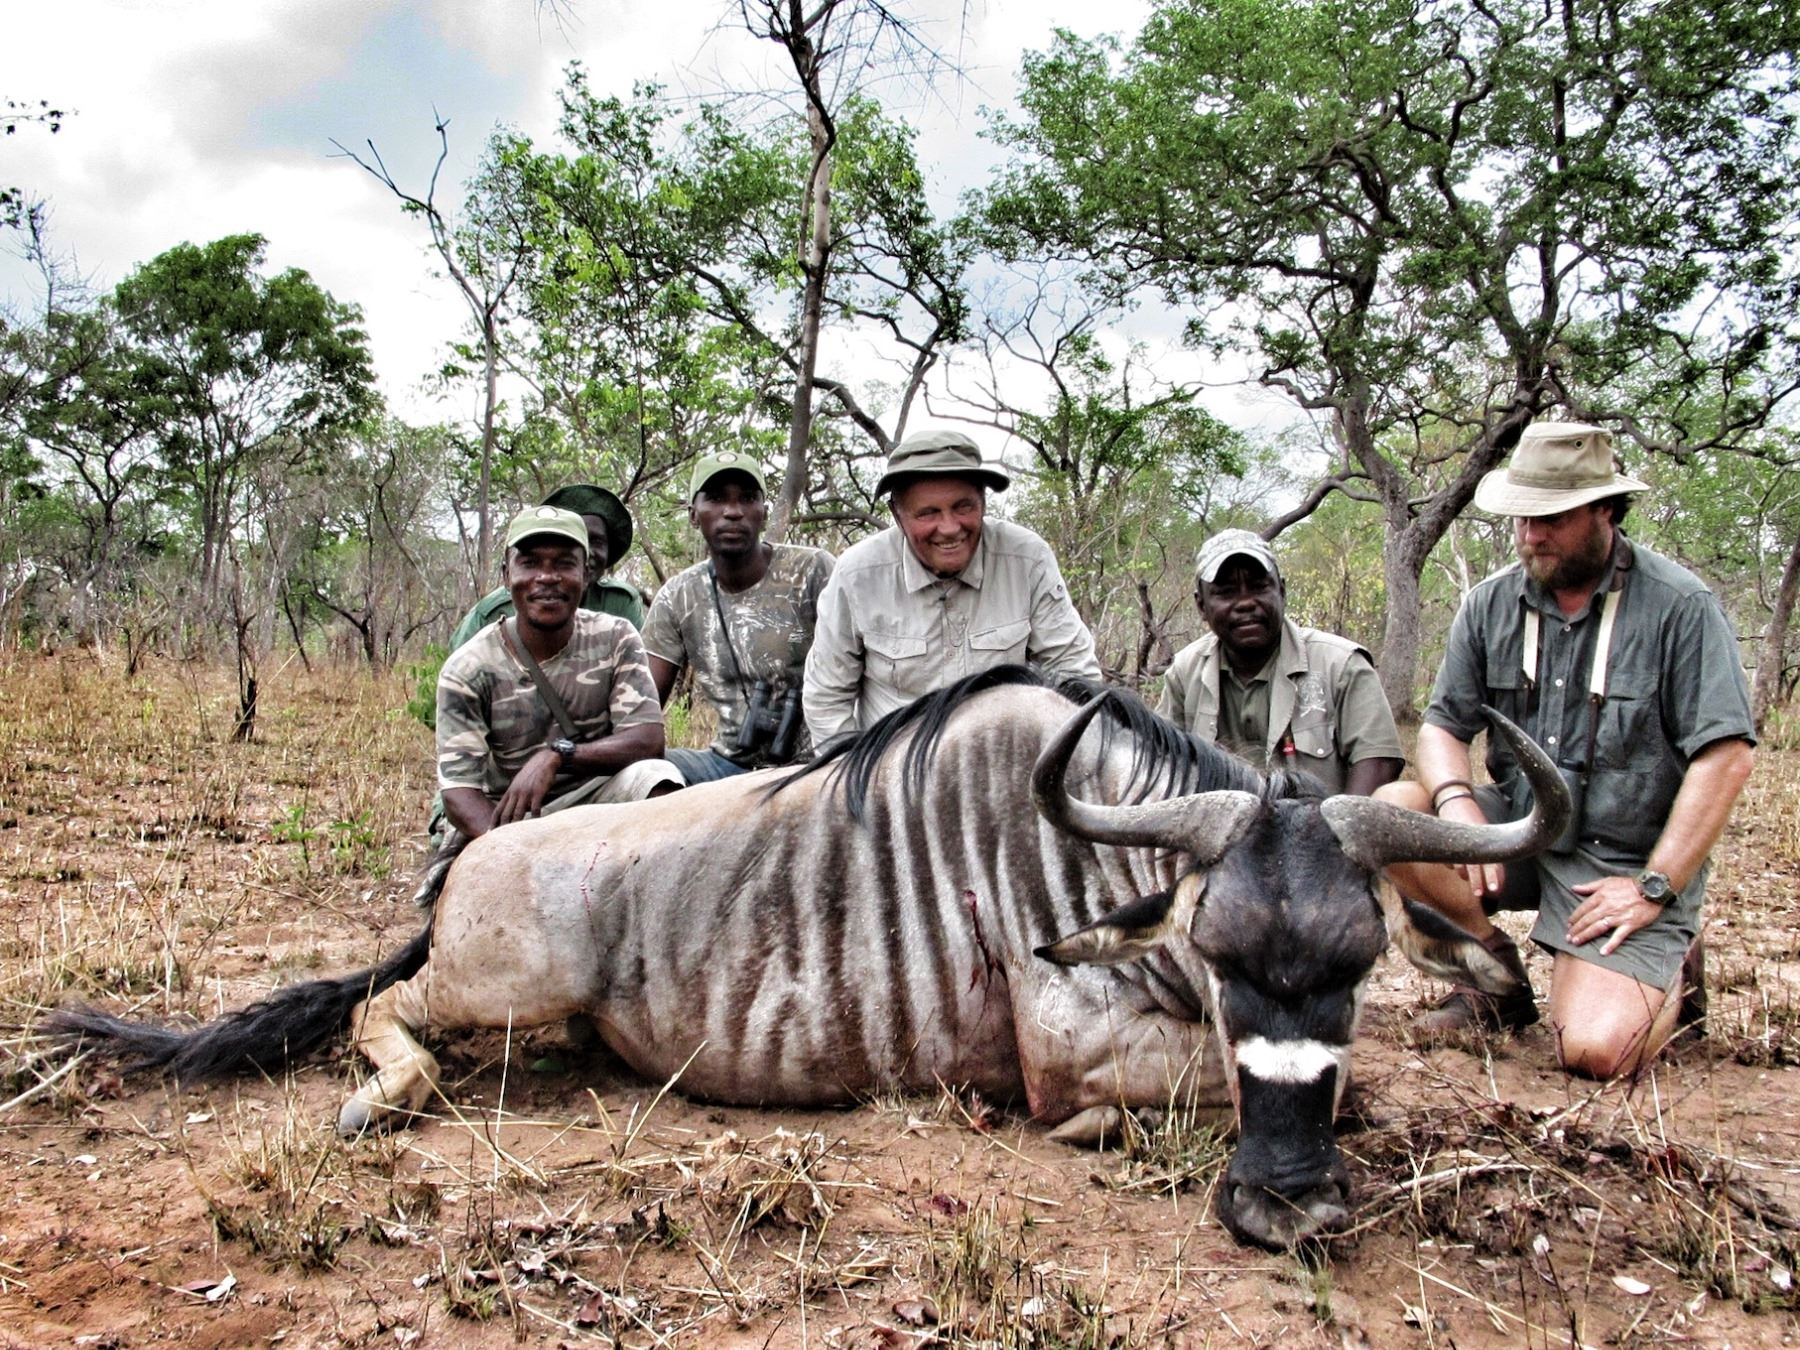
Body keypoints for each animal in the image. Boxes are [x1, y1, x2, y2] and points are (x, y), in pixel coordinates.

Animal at [47, 667, 1567, 1249]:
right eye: (1217, 944)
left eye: (1358, 962)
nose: (1288, 1211)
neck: (1089, 846)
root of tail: (477, 864)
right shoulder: (1067, 1048)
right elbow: (1180, 1096)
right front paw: (1101, 1137)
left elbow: (1351, 1082)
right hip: (498, 977)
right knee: (387, 1013)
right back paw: (377, 1099)